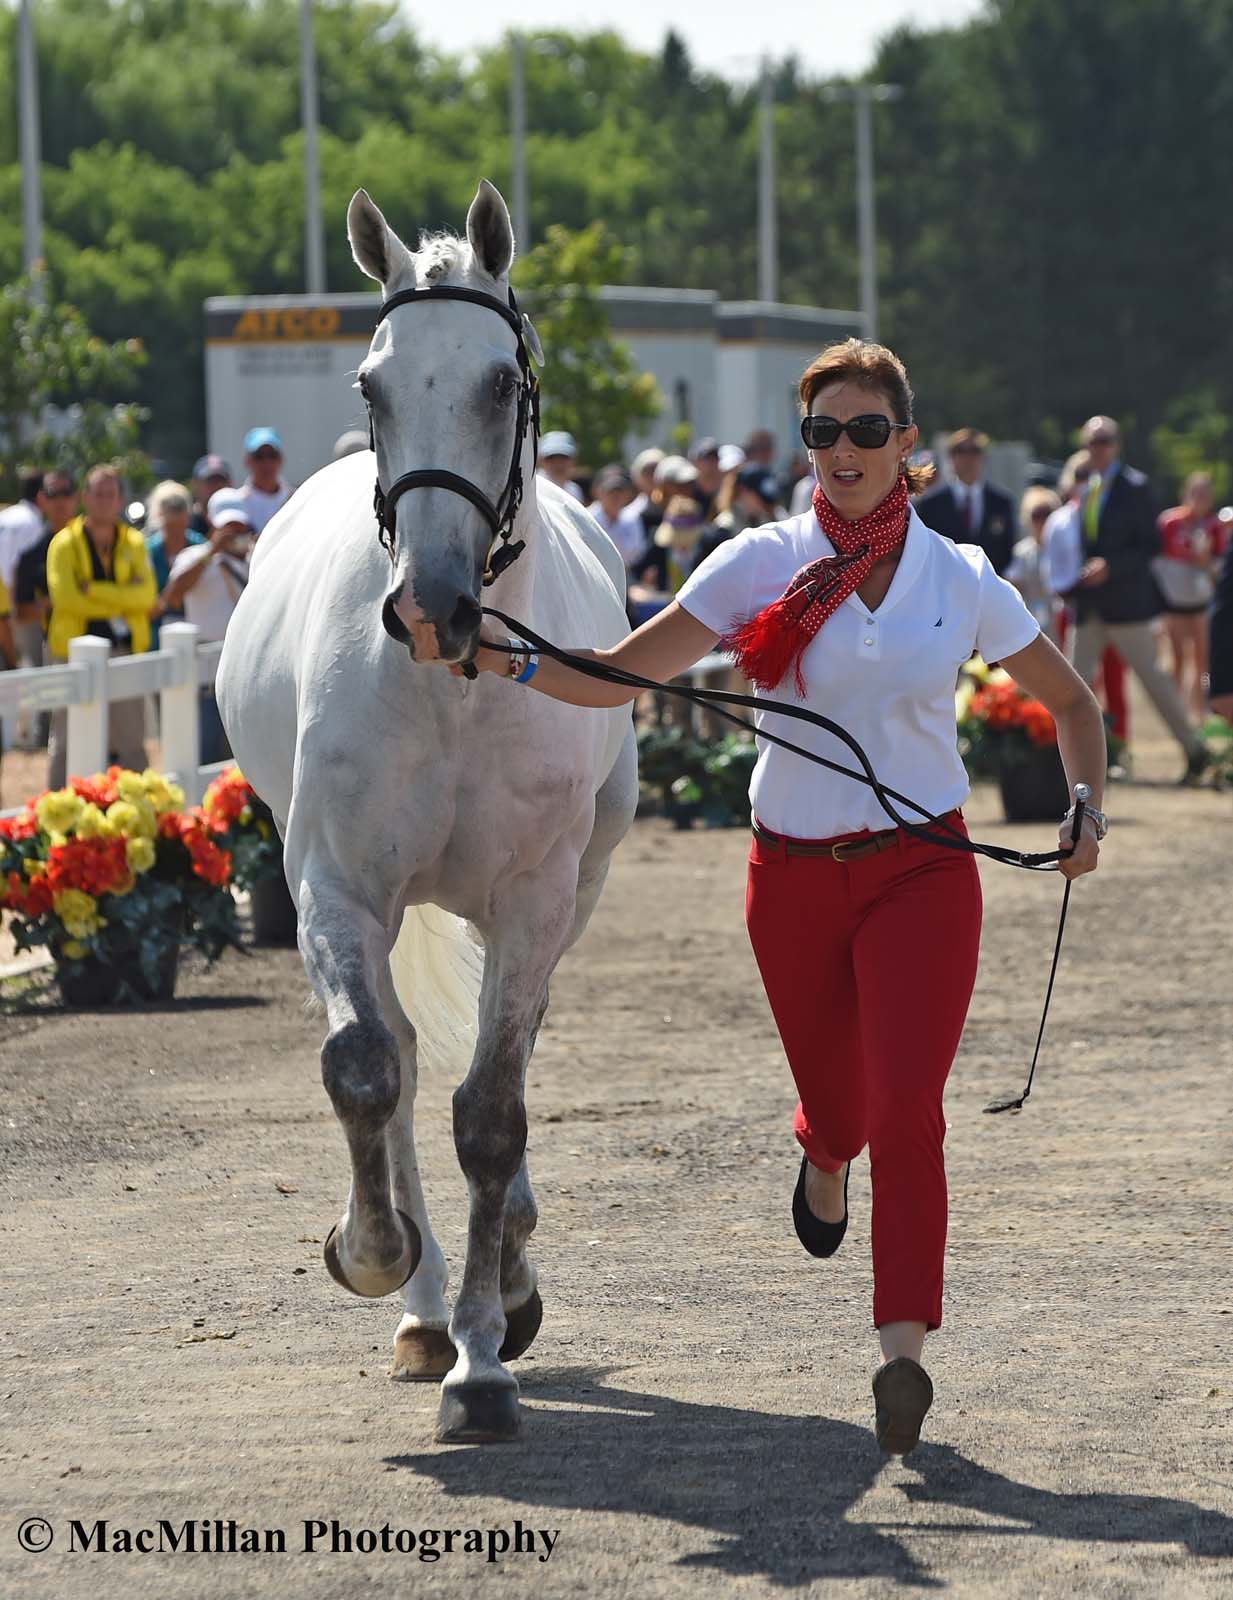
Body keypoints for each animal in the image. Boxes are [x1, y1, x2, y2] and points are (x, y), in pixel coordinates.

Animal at [222, 181, 642, 1446]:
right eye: (372, 385)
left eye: (502, 383)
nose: (429, 604)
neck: (454, 687)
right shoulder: (336, 890)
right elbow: (368, 1066)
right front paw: (377, 1259)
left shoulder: (535, 899)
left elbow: (492, 1113)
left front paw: (486, 1359)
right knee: (403, 1059)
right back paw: (420, 1306)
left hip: (574, 893)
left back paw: (502, 1277)